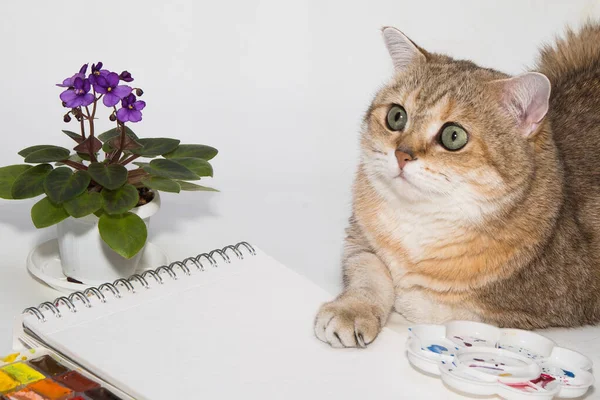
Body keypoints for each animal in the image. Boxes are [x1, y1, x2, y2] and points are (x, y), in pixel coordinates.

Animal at [314, 22, 600, 346]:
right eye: (396, 116)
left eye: (453, 136)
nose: (402, 154)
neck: (419, 222)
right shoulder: (360, 241)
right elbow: (370, 273)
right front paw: (352, 309)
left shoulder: (523, 309)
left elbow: (428, 303)